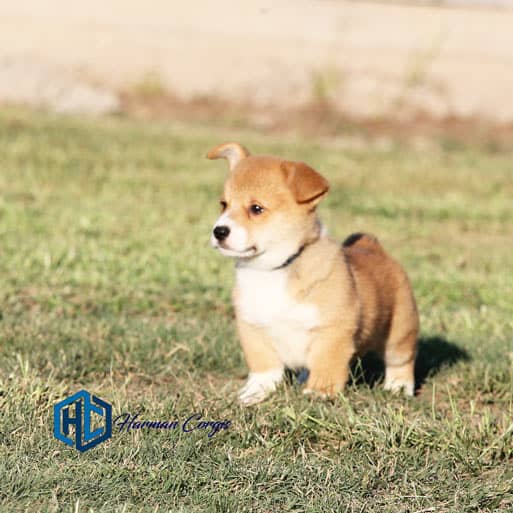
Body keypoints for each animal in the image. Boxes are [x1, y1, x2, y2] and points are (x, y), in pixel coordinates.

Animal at [206, 143, 418, 404]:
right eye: (223, 204)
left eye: (256, 208)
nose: (219, 231)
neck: (272, 269)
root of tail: (373, 246)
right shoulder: (252, 329)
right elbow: (264, 368)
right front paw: (254, 393)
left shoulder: (331, 330)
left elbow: (326, 365)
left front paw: (319, 392)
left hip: (400, 330)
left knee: (402, 359)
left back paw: (399, 387)